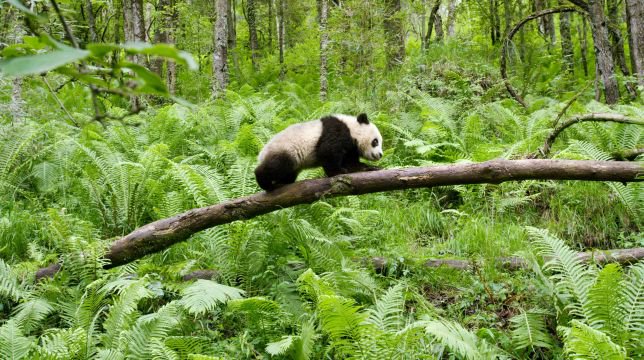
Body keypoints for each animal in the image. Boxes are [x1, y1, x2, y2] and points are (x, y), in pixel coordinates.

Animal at [254, 112, 384, 191]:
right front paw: (338, 172)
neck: (351, 129)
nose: (380, 155)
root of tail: (262, 154)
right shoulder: (336, 131)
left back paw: (281, 183)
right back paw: (265, 183)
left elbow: (352, 163)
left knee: (288, 174)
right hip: (286, 150)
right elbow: (327, 151)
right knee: (277, 166)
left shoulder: (351, 148)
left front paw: (372, 168)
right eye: (375, 141)